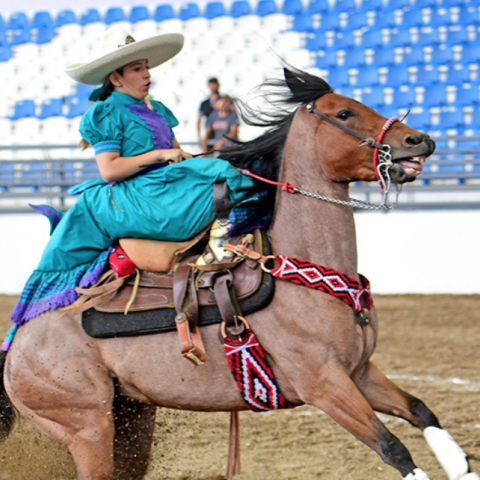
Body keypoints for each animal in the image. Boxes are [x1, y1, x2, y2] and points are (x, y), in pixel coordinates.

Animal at [0, 68, 476, 480]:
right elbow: (393, 448)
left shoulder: (359, 371)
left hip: (132, 419)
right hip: (88, 427)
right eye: (344, 113)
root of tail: (19, 341)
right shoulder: (324, 385)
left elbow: (421, 410)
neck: (302, 273)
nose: (420, 139)